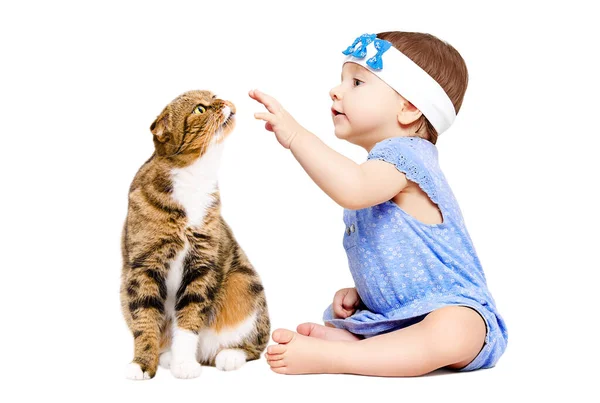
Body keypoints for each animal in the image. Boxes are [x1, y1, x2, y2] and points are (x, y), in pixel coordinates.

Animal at [119, 90, 270, 380]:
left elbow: (190, 317)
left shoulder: (201, 265)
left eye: (214, 95)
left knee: (256, 344)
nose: (225, 101)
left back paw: (228, 356)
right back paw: (167, 356)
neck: (193, 177)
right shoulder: (143, 266)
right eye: (200, 109)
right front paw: (142, 363)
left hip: (244, 282)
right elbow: (145, 320)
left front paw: (185, 364)